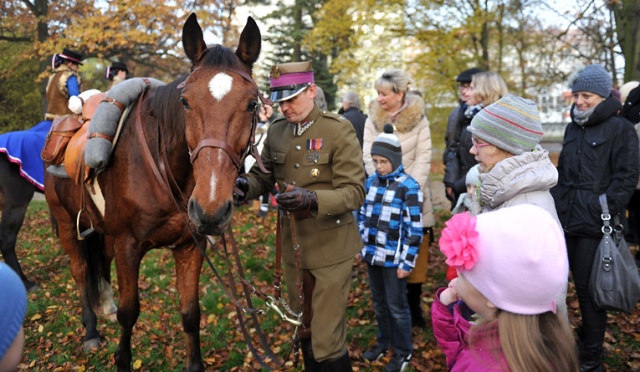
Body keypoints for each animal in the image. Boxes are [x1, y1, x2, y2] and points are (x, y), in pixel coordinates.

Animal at [44, 13, 262, 370]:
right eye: (185, 101)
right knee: (80, 271)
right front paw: (121, 357)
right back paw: (91, 330)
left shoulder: (189, 247)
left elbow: (190, 314)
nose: (210, 209)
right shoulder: (128, 247)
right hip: (65, 221)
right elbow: (129, 313)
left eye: (252, 103)